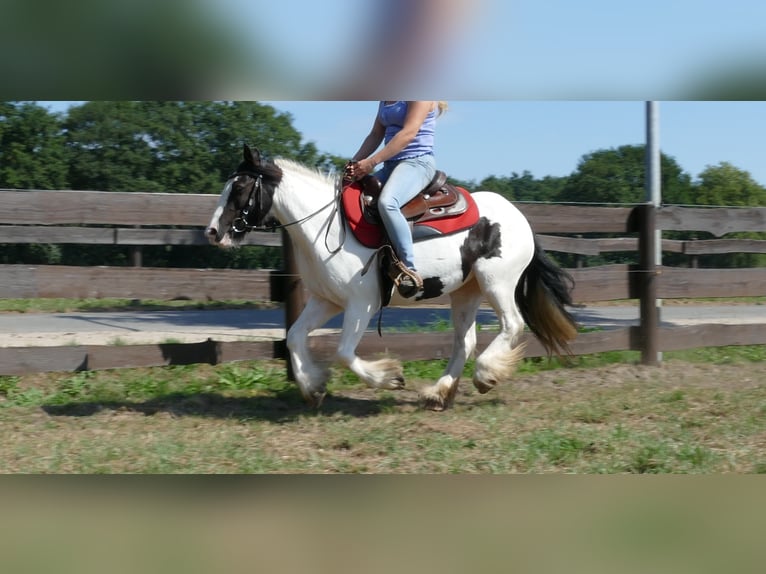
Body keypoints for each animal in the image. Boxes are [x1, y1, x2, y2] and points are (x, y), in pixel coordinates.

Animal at [207, 146, 580, 412]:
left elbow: (344, 353)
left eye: (240, 187)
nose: (213, 233)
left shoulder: (362, 304)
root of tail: (519, 216)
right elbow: (295, 337)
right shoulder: (326, 300)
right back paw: (438, 394)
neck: (328, 227)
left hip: (497, 283)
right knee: (465, 341)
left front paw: (389, 378)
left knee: (512, 324)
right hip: (466, 291)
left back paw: (486, 375)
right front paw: (313, 386)